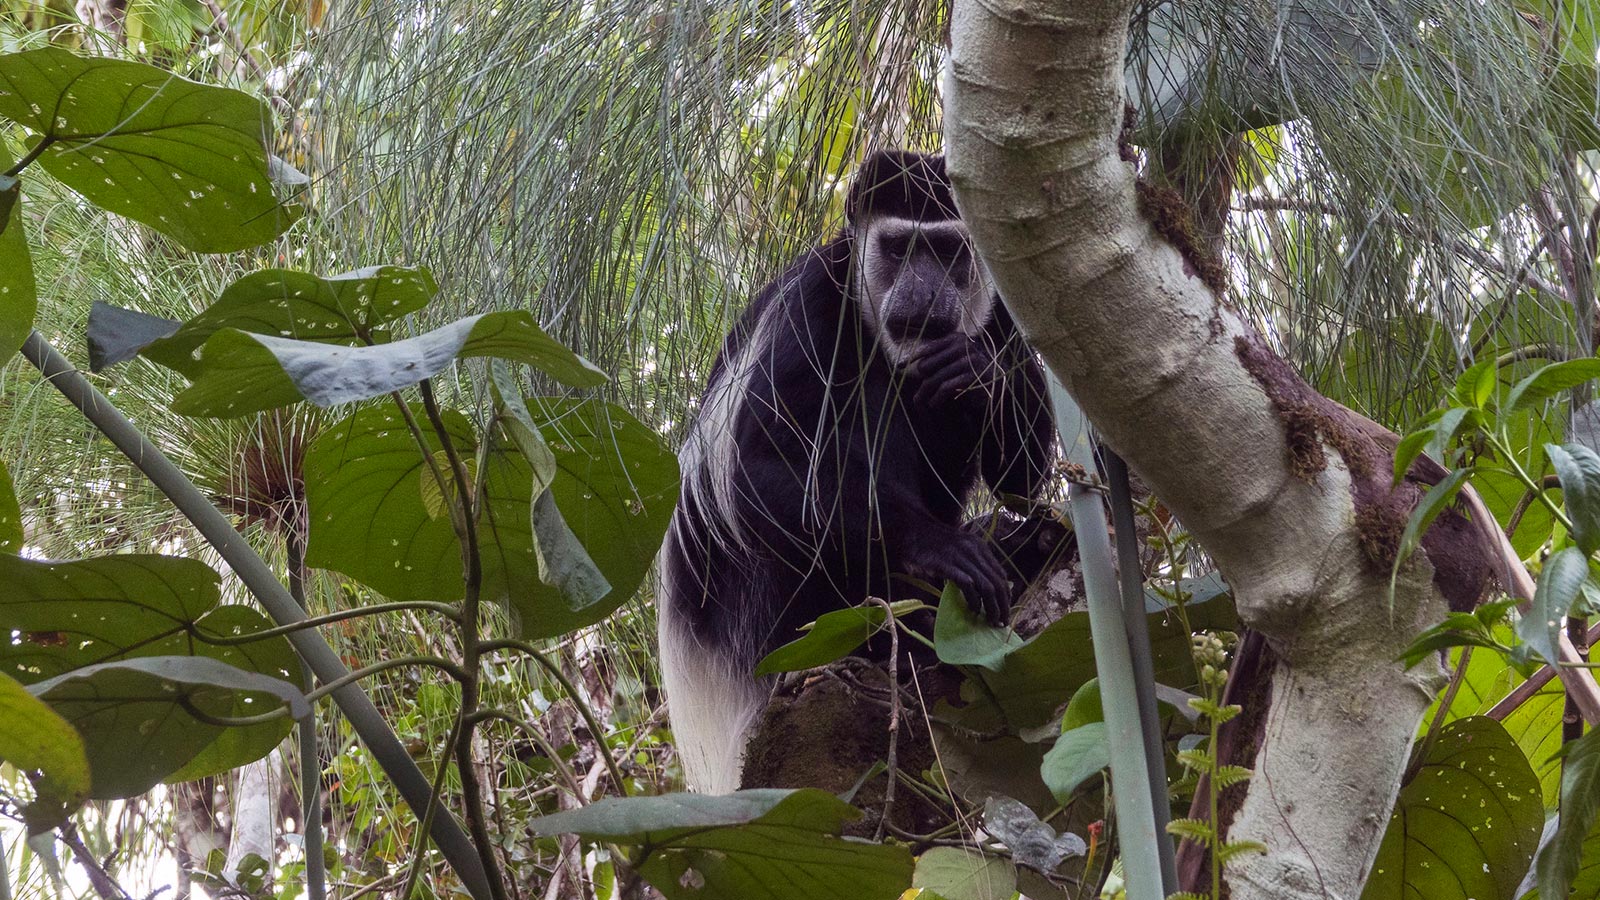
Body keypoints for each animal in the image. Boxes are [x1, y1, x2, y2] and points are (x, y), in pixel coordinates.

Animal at [657, 149, 1057, 792]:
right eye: (898, 248)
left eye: (948, 252)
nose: (923, 294)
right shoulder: (811, 304)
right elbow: (756, 466)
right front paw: (940, 547)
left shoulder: (999, 314)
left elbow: (1021, 479)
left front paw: (977, 375)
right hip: (770, 626)